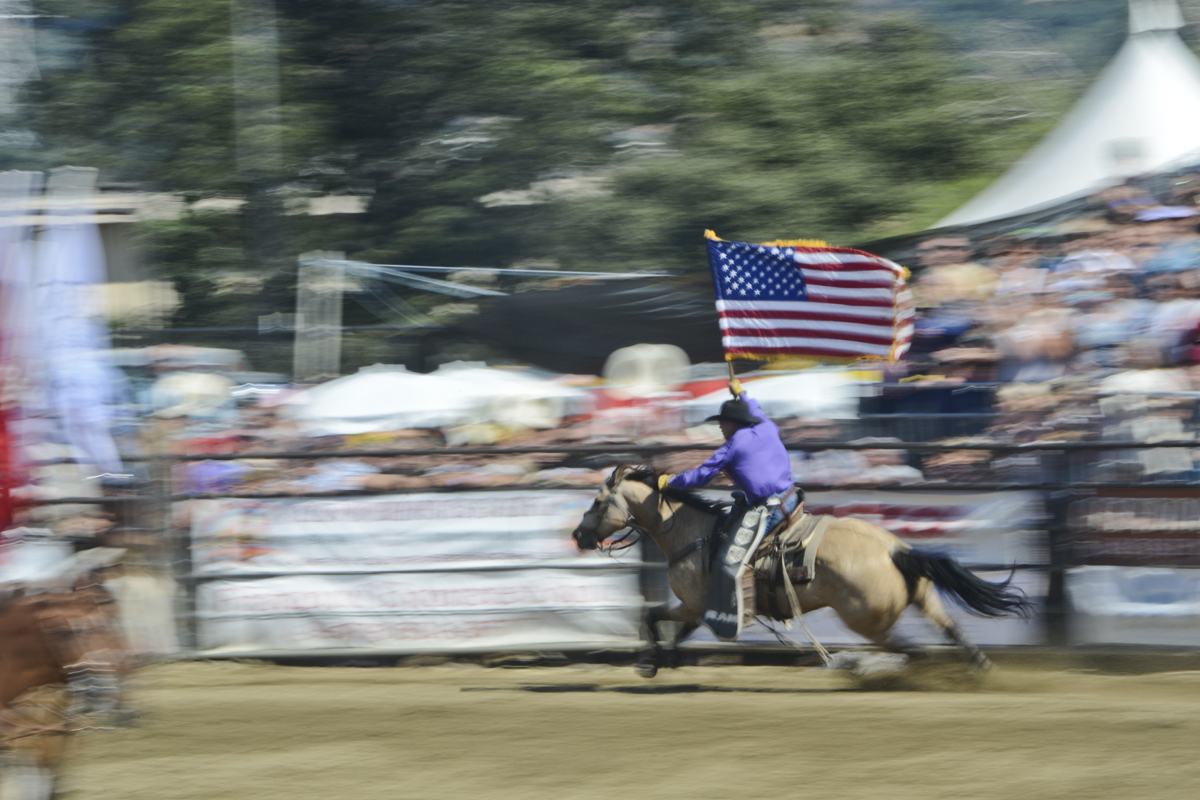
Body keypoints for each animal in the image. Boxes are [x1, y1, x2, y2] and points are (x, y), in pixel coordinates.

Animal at [571, 465, 1032, 681]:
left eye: (597, 502)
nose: (578, 534)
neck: (693, 532)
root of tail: (893, 550)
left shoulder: (692, 604)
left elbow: (651, 617)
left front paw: (649, 665)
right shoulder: (700, 609)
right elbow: (670, 630)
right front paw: (665, 661)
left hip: (867, 620)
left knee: (910, 650)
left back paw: (867, 672)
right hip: (921, 598)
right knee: (951, 629)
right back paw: (980, 670)